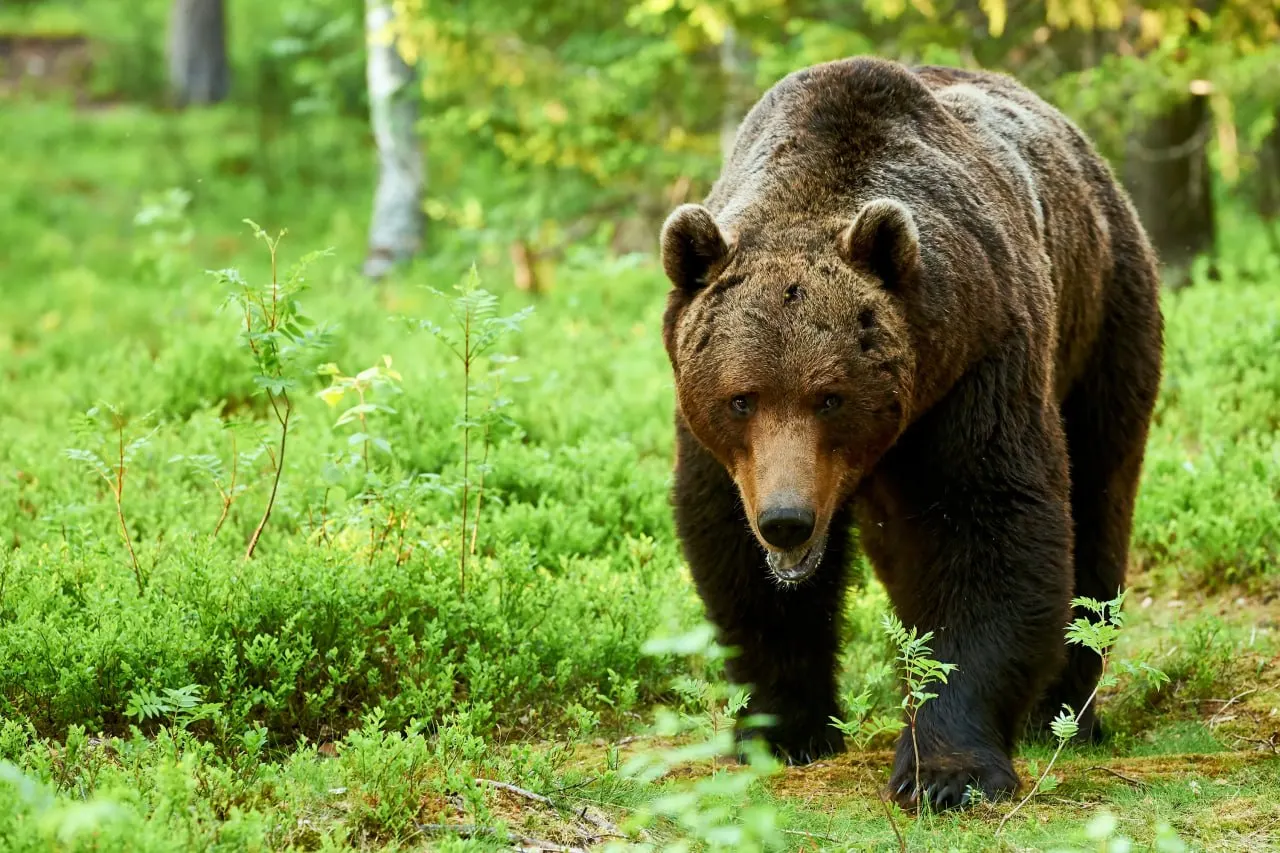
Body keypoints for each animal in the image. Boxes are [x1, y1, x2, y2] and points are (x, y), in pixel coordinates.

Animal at [658, 57, 1164, 810]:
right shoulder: (720, 450)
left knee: (1099, 499)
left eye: (831, 396)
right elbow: (734, 556)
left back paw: (1064, 712)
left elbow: (989, 532)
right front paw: (785, 729)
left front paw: (947, 771)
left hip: (1103, 317)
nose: (787, 520)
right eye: (741, 398)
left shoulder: (979, 369)